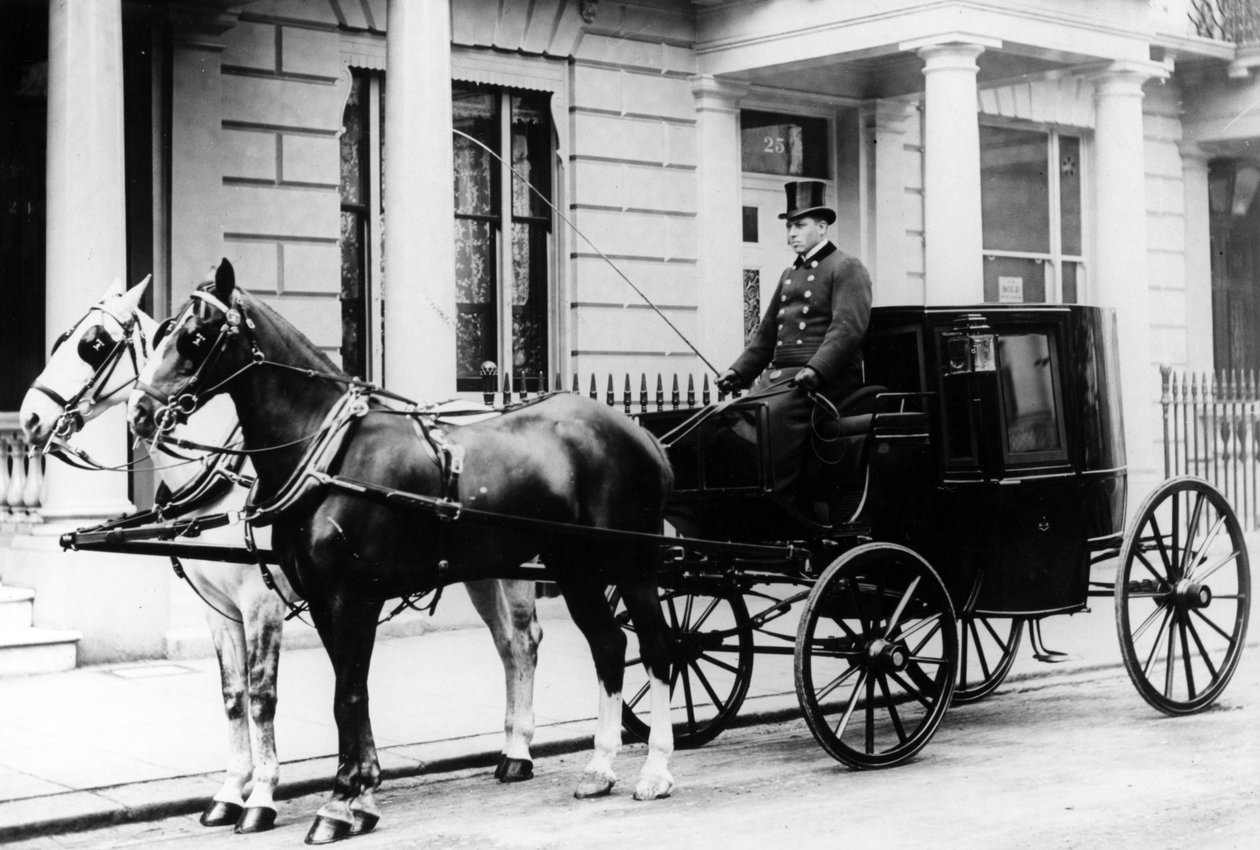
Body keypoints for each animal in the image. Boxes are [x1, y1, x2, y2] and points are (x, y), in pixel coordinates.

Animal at [19, 277, 541, 831]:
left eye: (92, 344)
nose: (29, 417)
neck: (229, 477)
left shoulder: (262, 604)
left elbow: (262, 697)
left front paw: (264, 797)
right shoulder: (220, 610)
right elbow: (233, 697)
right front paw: (232, 792)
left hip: (517, 571)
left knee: (523, 641)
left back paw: (520, 752)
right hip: (481, 570)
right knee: (506, 645)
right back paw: (512, 745)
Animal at [131, 260, 675, 846]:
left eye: (195, 336)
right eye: (162, 334)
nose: (141, 411)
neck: (327, 454)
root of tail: (641, 433)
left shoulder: (349, 596)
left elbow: (345, 695)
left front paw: (338, 804)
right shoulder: (319, 600)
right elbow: (351, 691)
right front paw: (361, 796)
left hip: (631, 565)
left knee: (658, 647)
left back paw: (655, 770)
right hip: (574, 567)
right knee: (608, 646)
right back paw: (599, 768)